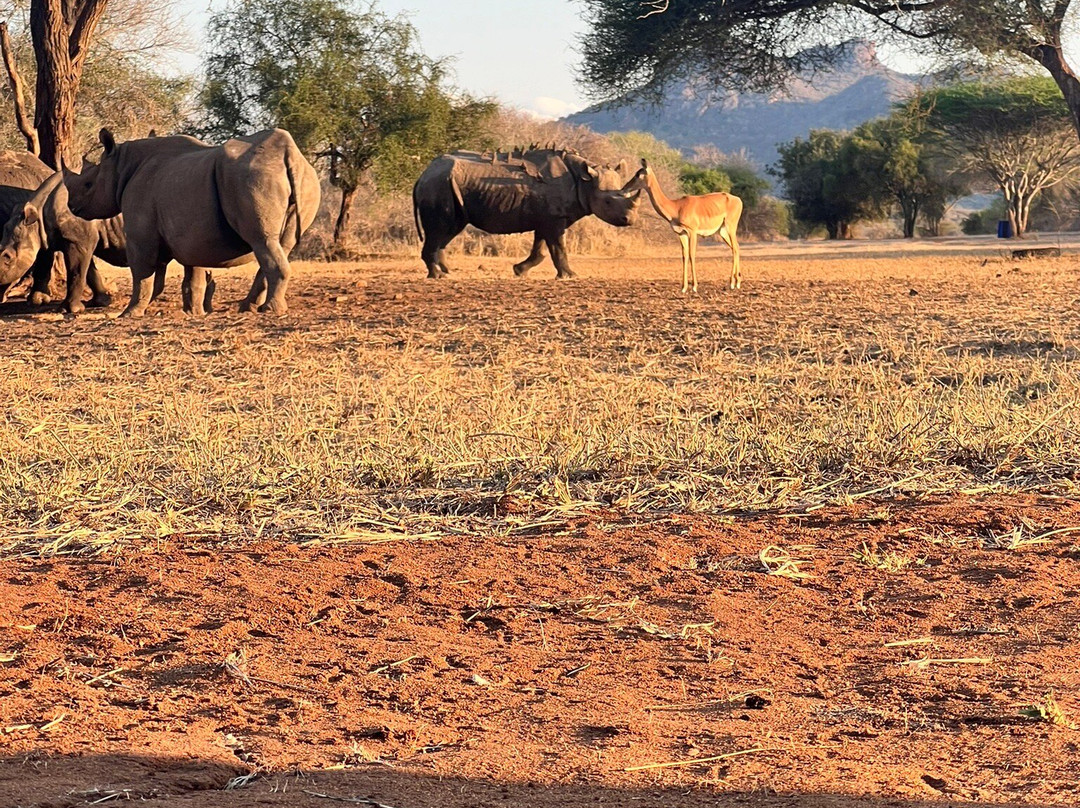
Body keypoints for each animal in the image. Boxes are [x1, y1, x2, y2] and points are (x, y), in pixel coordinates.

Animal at [0, 173, 215, 314]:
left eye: (7, 258)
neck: (37, 214)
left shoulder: (77, 240)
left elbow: (76, 272)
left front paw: (69, 310)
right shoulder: (75, 239)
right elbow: (88, 271)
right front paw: (100, 302)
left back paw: (192, 312)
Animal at [62, 128, 320, 317]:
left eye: (88, 184)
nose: (72, 206)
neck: (121, 166)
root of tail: (289, 155)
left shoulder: (141, 233)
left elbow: (142, 271)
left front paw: (130, 313)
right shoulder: (193, 234)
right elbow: (192, 274)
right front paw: (194, 313)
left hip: (253, 178)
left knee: (262, 241)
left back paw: (270, 311)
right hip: (306, 179)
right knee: (281, 245)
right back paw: (249, 308)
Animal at [412, 148, 642, 279]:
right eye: (607, 201)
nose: (629, 220)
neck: (583, 181)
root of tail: (422, 175)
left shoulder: (547, 218)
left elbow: (541, 249)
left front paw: (519, 271)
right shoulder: (554, 219)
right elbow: (559, 248)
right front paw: (570, 276)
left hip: (446, 185)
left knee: (449, 229)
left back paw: (446, 271)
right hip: (438, 185)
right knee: (440, 228)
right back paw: (437, 276)